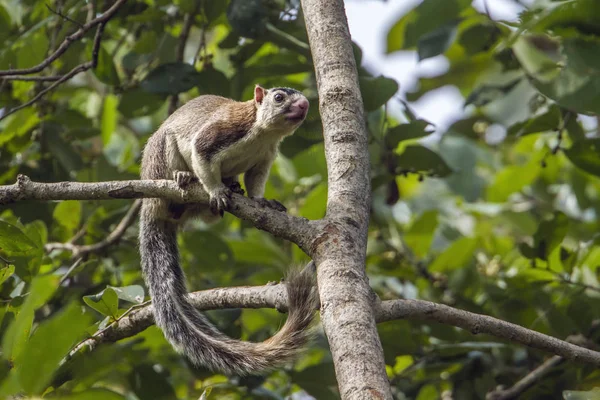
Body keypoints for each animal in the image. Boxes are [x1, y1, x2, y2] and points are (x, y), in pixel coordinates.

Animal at [139, 85, 318, 376]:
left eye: (303, 97)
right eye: (279, 97)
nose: (304, 105)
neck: (264, 134)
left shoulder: (264, 159)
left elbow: (256, 182)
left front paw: (261, 201)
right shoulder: (221, 134)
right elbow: (202, 156)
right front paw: (217, 192)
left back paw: (230, 190)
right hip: (160, 158)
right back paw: (183, 177)